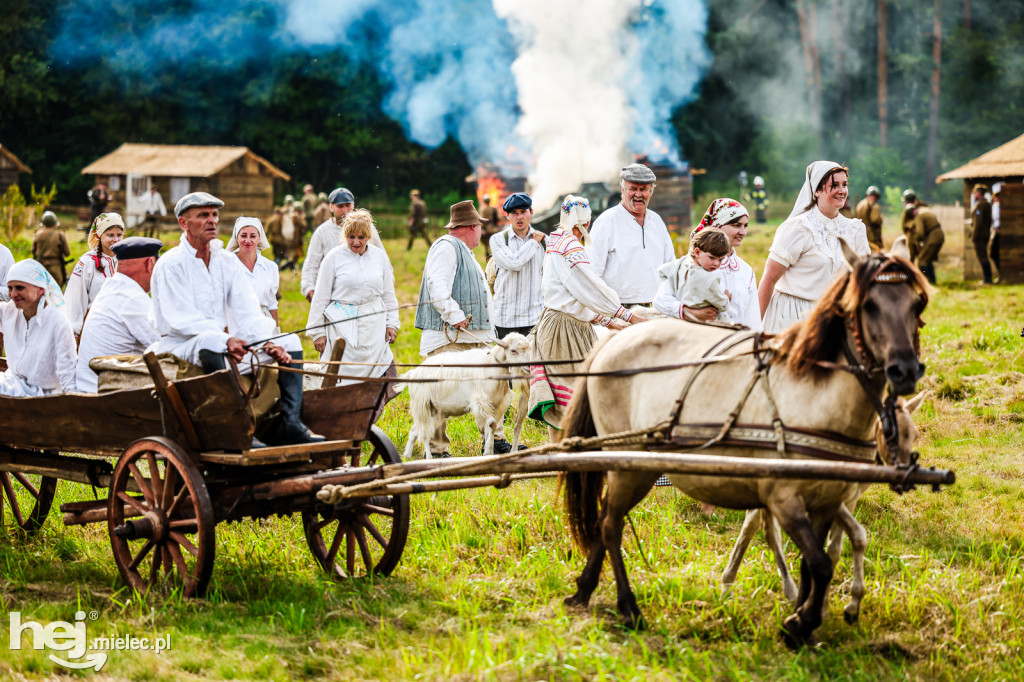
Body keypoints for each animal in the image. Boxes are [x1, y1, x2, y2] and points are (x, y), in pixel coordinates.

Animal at [399, 333, 532, 458]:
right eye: (513, 350)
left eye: (529, 348)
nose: (529, 366)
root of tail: (413, 373)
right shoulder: (481, 402)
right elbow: (491, 423)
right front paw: (488, 452)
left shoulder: (496, 403)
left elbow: (492, 427)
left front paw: (488, 450)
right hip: (422, 406)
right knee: (424, 433)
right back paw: (429, 458)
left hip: (435, 411)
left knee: (415, 430)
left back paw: (407, 456)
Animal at [561, 242, 929, 643]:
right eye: (868, 305)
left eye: (917, 305)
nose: (905, 371)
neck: (814, 398)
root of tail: (613, 341)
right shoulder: (783, 499)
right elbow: (820, 563)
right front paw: (800, 622)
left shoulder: (827, 502)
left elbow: (815, 562)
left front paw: (803, 619)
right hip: (628, 465)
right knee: (611, 524)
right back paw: (629, 607)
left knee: (604, 519)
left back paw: (584, 588)